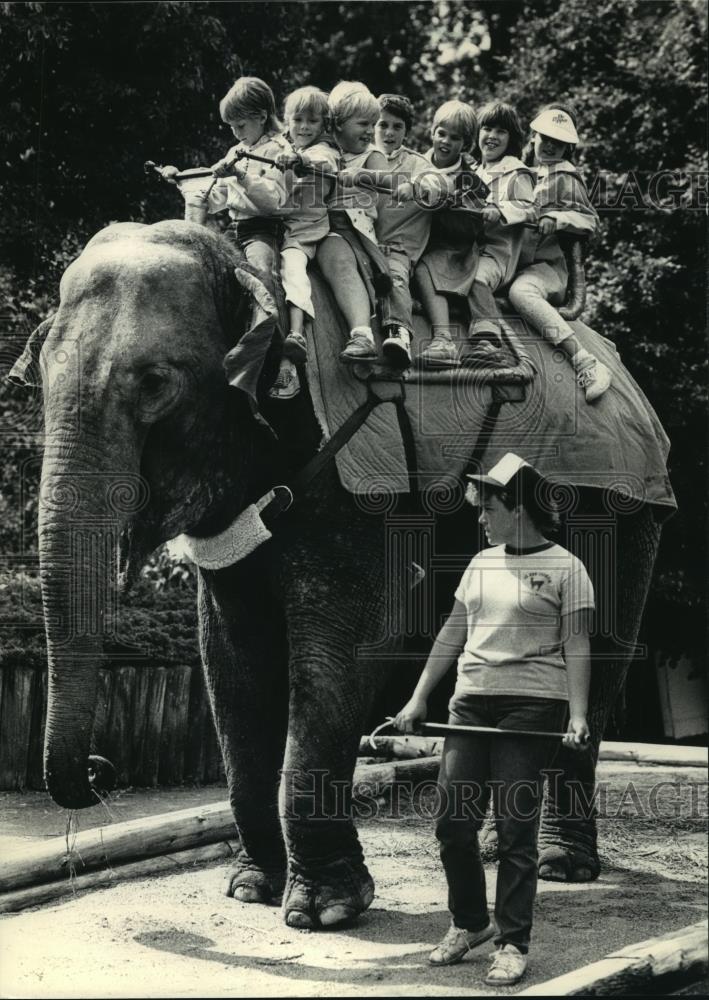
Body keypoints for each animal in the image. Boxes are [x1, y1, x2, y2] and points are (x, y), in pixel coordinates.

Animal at [13, 219, 672, 928]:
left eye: (156, 383)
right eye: (39, 375)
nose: (101, 768)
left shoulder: (357, 489)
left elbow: (344, 653)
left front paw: (326, 911)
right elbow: (230, 662)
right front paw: (252, 890)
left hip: (619, 512)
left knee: (596, 655)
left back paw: (560, 866)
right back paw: (504, 850)